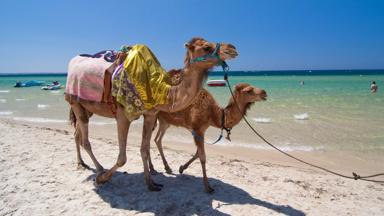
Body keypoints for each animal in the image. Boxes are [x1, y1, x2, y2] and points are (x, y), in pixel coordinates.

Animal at [65, 37, 237, 191]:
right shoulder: (123, 115)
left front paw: (151, 183)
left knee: (77, 134)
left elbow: (144, 148)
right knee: (85, 140)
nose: (232, 48)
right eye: (207, 47)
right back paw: (100, 170)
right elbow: (122, 158)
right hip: (75, 102)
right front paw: (101, 179)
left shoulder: (150, 115)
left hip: (86, 107)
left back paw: (81, 163)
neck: (158, 88)